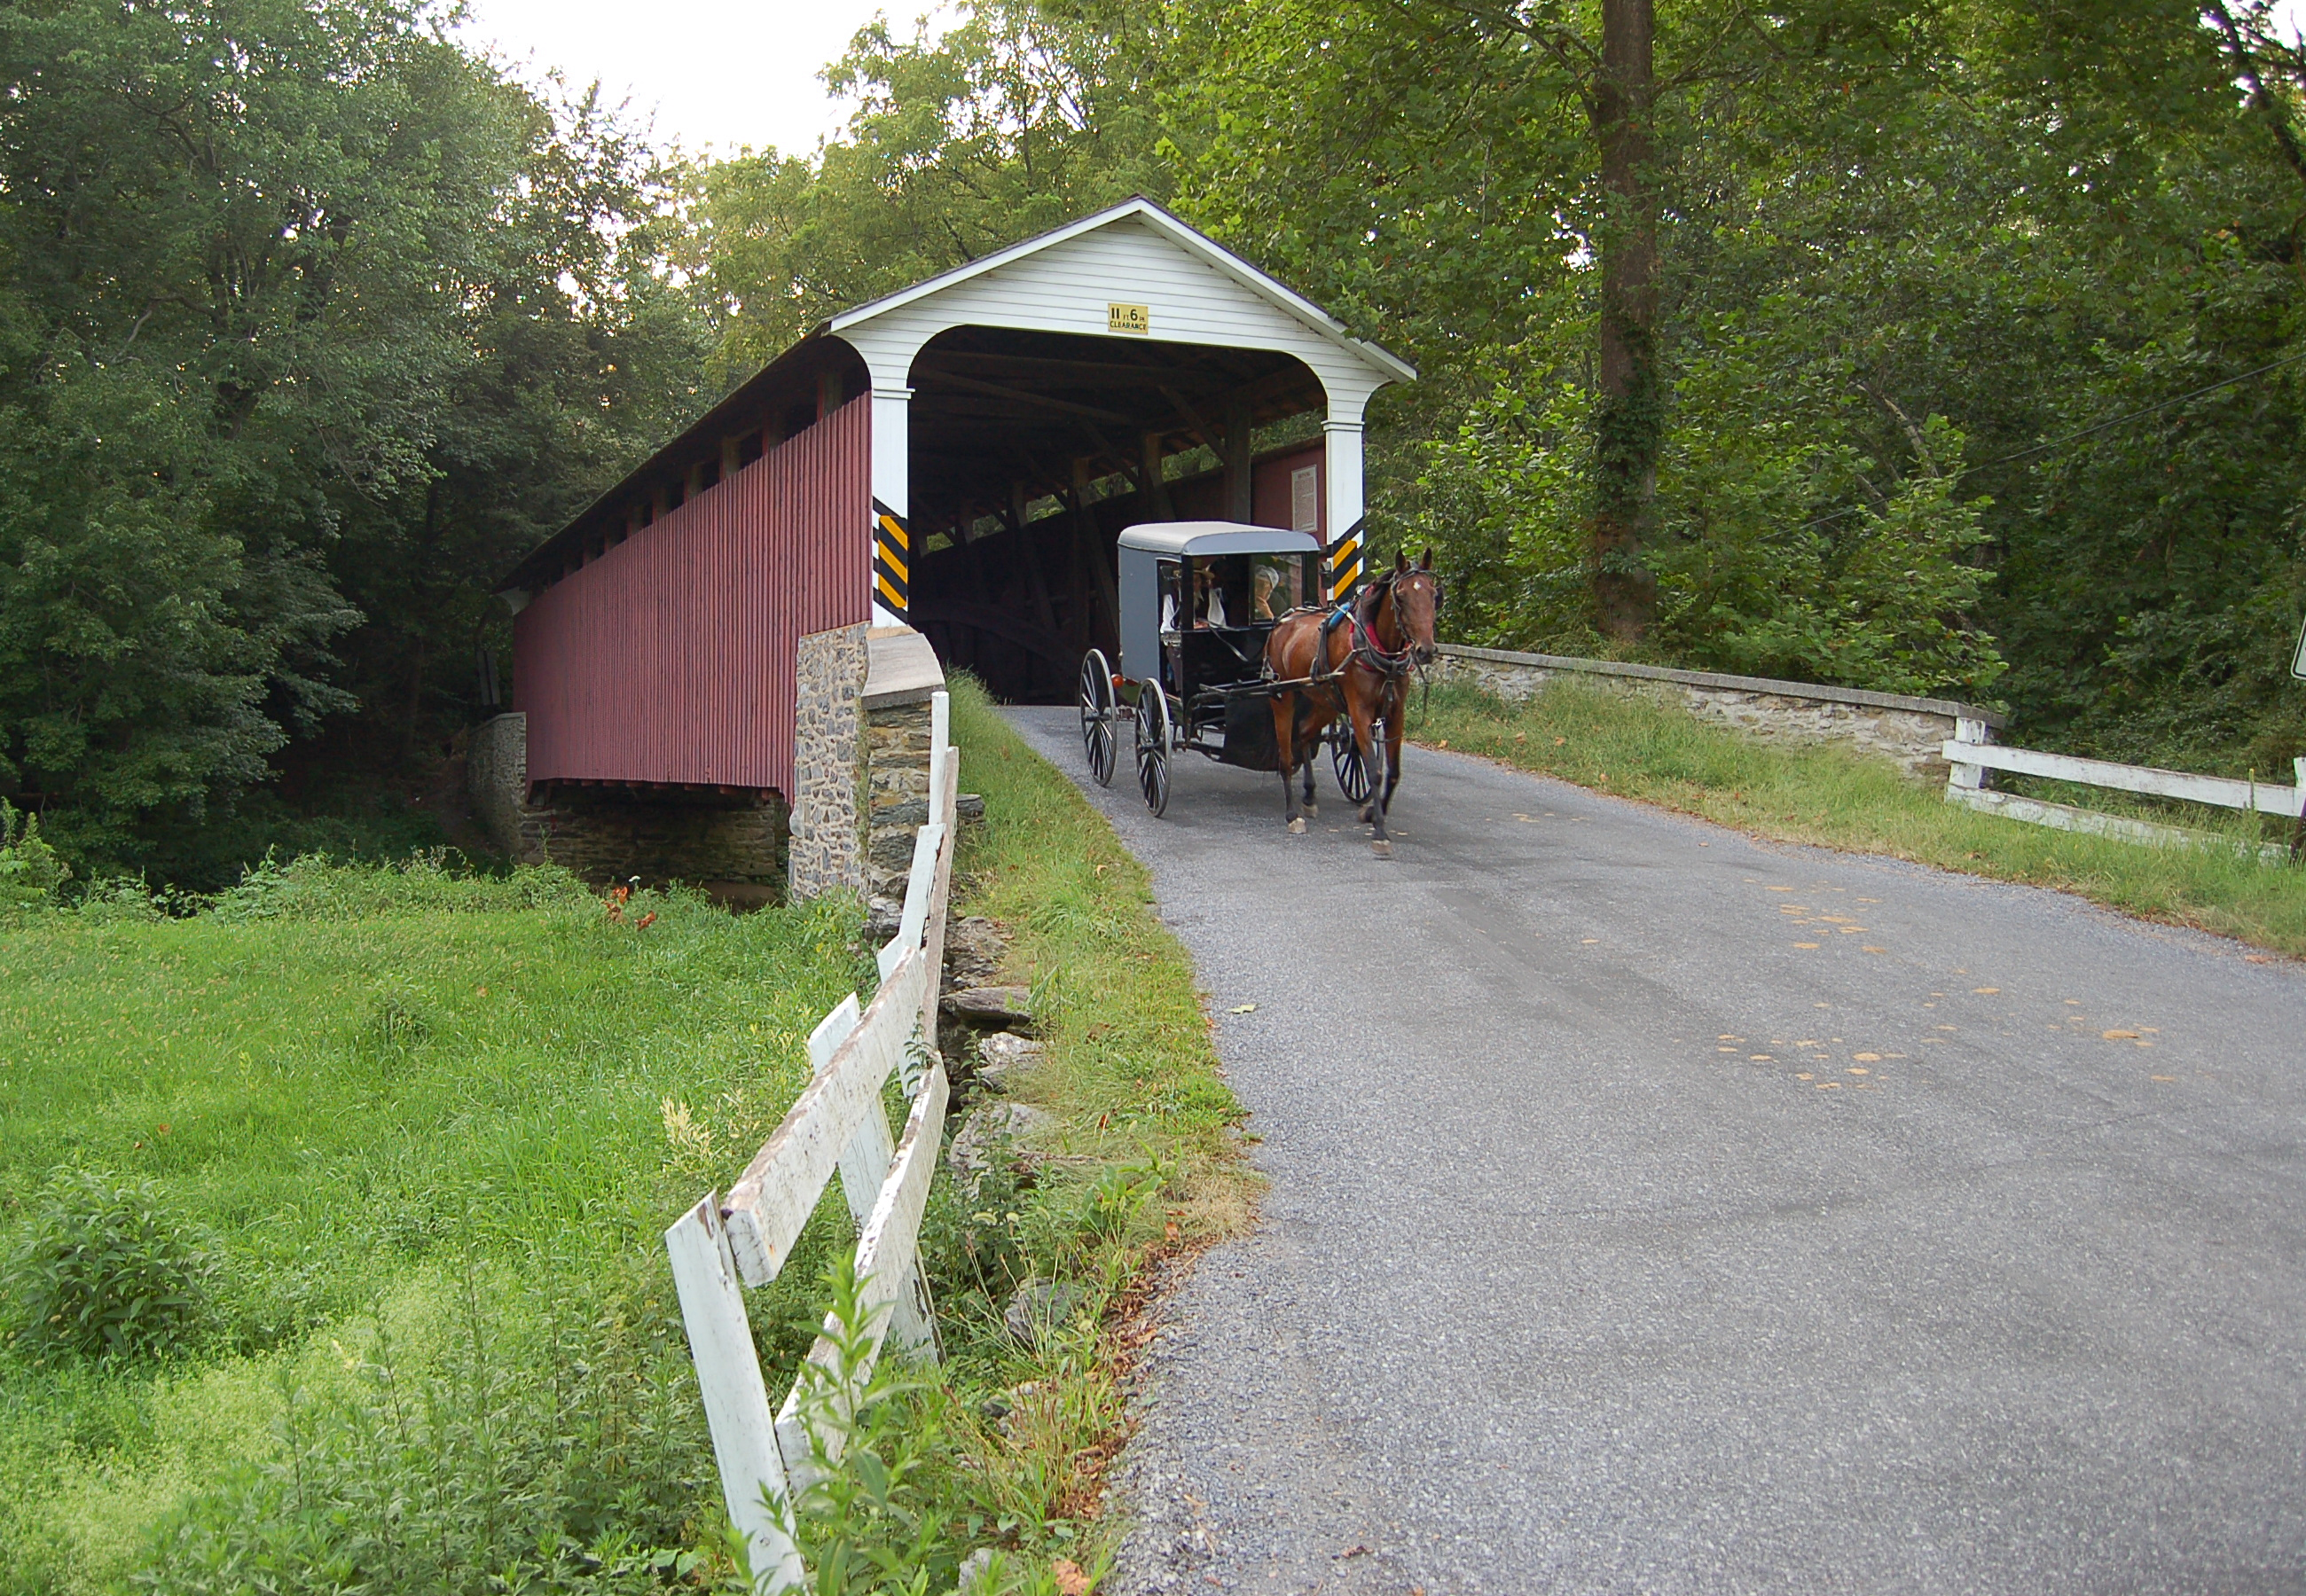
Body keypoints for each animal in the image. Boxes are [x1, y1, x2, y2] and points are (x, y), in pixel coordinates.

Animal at [1263, 549, 1439, 853]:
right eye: (1401, 596)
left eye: (1433, 593)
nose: (1425, 650)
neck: (1376, 647)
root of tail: (1282, 622)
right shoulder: (1359, 711)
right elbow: (1374, 770)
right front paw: (1379, 830)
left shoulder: (1396, 712)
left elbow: (1393, 772)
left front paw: (1370, 813)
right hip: (1283, 695)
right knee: (1285, 755)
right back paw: (1292, 814)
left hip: (1325, 701)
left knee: (1304, 733)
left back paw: (1309, 796)